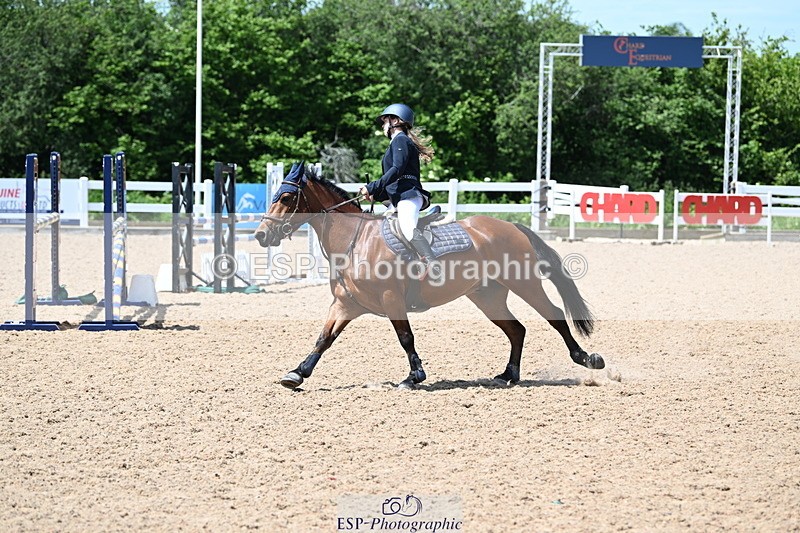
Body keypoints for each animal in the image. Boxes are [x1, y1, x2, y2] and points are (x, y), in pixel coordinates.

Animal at [254, 164, 605, 389]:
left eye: (286, 198)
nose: (260, 235)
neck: (355, 240)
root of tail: (511, 226)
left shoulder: (391, 299)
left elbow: (405, 337)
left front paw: (414, 377)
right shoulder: (345, 304)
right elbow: (324, 338)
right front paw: (297, 373)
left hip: (525, 283)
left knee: (555, 315)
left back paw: (587, 359)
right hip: (487, 297)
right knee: (516, 329)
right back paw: (508, 375)